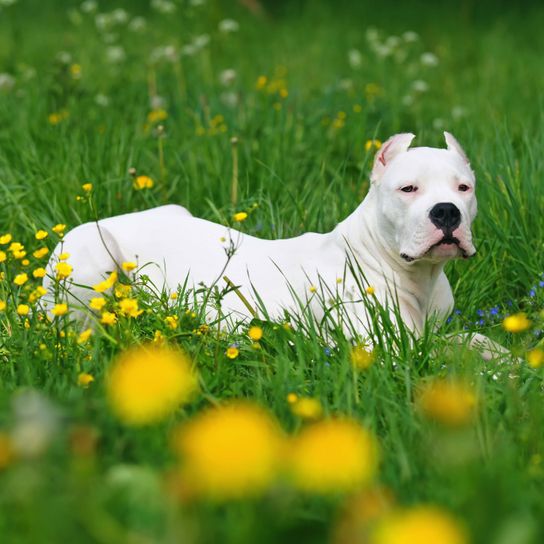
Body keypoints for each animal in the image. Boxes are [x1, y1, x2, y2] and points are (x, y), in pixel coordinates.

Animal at [45, 133, 498, 348]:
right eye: (408, 189)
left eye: (464, 188)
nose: (446, 212)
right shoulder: (388, 347)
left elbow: (474, 342)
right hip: (92, 264)